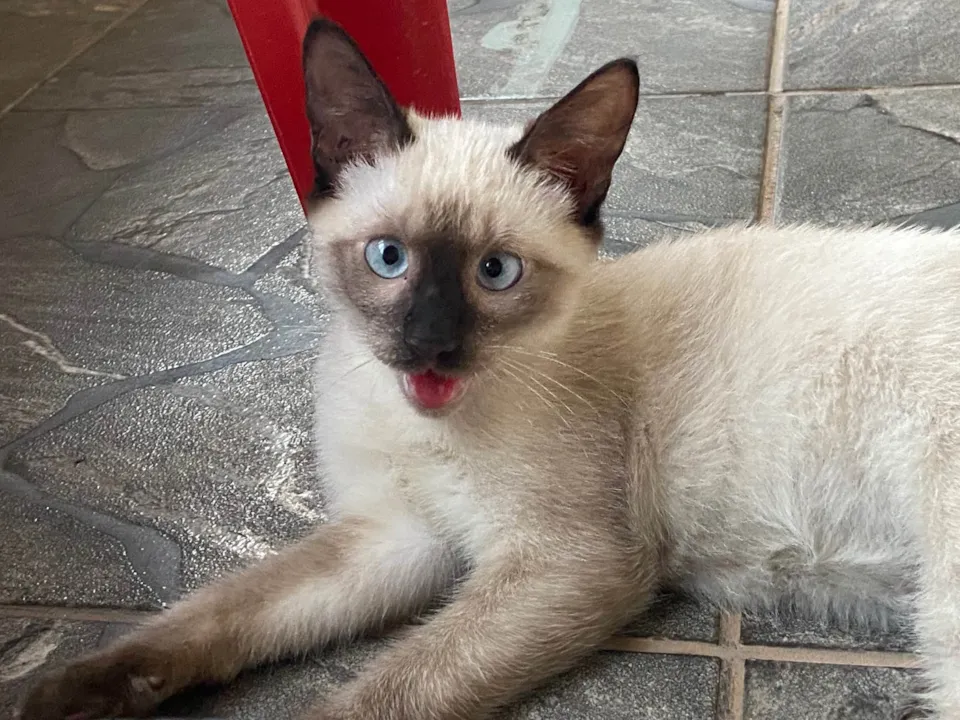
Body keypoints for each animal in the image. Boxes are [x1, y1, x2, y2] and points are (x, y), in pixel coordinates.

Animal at [18, 15, 960, 720]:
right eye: (389, 259)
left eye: (495, 273)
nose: (431, 346)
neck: (424, 422)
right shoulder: (398, 537)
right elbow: (225, 608)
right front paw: (62, 693)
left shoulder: (562, 562)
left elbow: (381, 694)